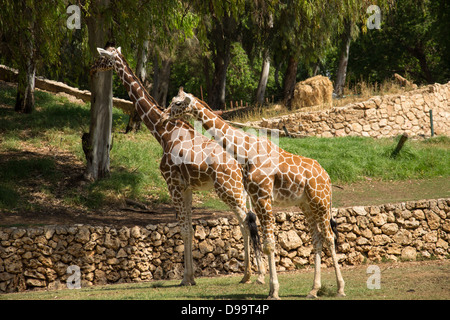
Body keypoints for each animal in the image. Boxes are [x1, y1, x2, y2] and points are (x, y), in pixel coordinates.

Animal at [92, 46, 266, 286]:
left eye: (102, 57)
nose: (91, 68)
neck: (163, 132)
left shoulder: (172, 184)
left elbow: (183, 229)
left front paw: (185, 279)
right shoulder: (187, 187)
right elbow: (190, 229)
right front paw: (191, 277)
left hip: (228, 189)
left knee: (246, 221)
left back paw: (254, 275)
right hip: (242, 190)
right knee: (247, 221)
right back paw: (248, 274)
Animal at [167, 87, 346, 298]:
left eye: (177, 103)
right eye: (172, 101)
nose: (164, 115)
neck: (246, 153)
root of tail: (327, 176)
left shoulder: (263, 198)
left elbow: (269, 244)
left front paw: (274, 291)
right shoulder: (256, 198)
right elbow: (264, 241)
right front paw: (270, 287)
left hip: (321, 202)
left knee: (329, 237)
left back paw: (340, 288)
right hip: (306, 205)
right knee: (317, 238)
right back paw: (314, 289)